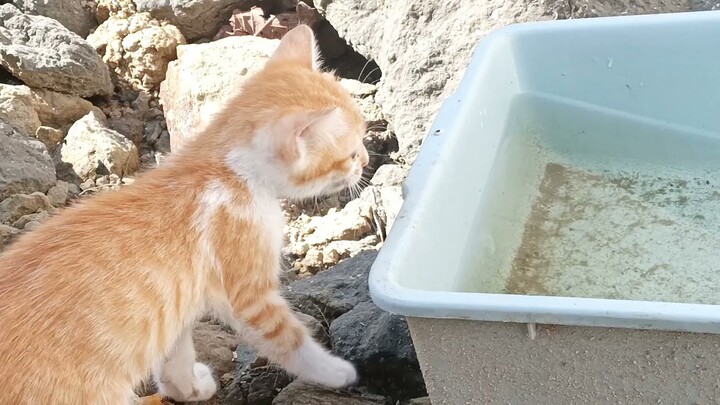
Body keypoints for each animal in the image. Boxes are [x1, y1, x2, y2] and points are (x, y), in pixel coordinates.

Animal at [0, 26, 372, 404]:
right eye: (351, 155)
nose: (368, 161)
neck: (227, 170)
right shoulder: (249, 296)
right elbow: (288, 339)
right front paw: (335, 372)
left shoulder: (169, 306)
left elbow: (175, 352)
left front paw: (186, 387)